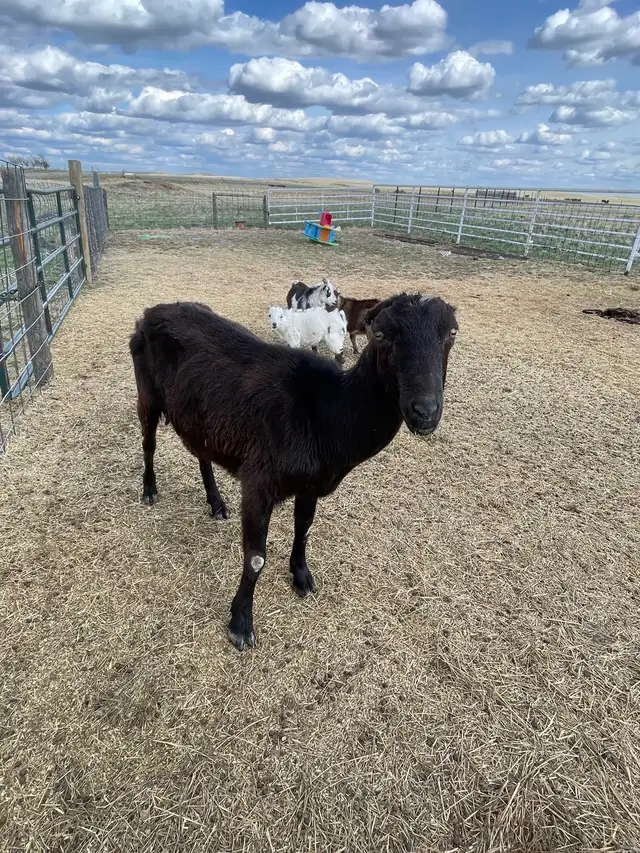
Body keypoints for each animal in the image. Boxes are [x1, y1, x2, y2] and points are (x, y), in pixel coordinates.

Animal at [129, 293, 458, 650]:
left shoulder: (310, 484)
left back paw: (216, 503)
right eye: (381, 334)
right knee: (148, 442)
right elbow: (256, 557)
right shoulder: (258, 481)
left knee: (202, 454)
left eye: (452, 333)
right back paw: (149, 490)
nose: (424, 411)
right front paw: (241, 625)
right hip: (146, 392)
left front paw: (301, 577)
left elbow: (304, 529)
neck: (326, 413)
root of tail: (153, 311)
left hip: (200, 416)